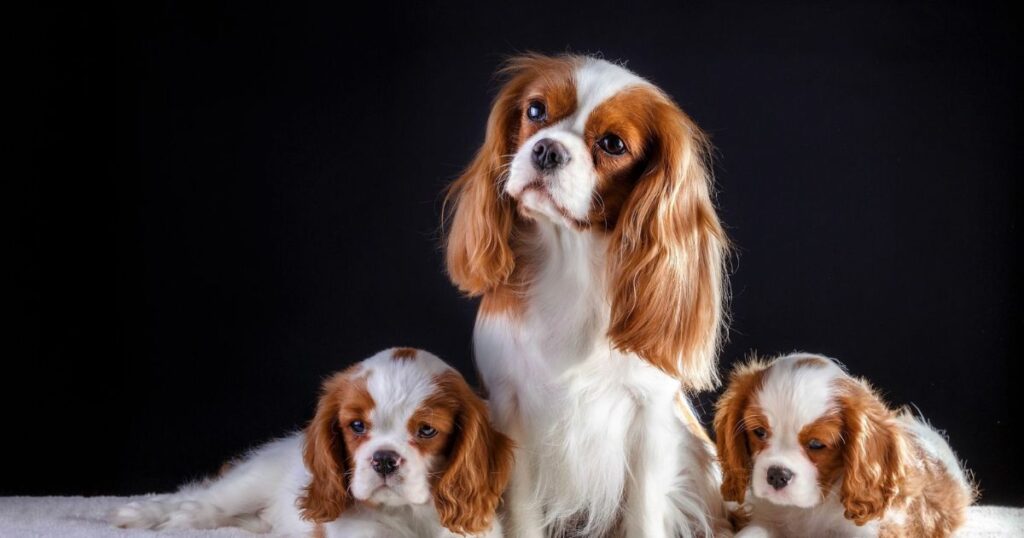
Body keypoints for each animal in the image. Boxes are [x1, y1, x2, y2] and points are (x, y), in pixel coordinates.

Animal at [111, 348, 512, 536]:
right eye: (356, 425)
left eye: (427, 431)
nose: (383, 459)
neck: (409, 513)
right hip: (250, 481)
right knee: (202, 500)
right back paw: (156, 515)